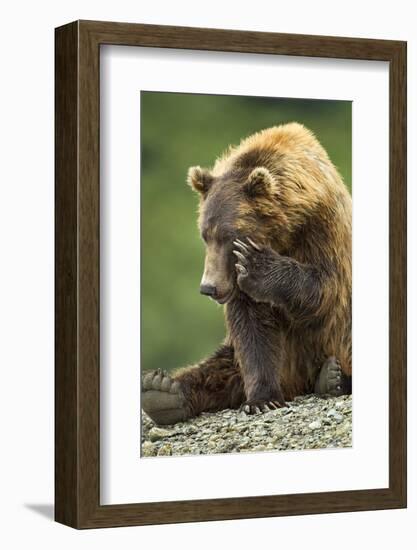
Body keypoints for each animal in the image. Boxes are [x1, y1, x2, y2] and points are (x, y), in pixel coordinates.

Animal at [141, 124, 350, 426]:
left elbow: (325, 287)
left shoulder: (323, 230)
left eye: (230, 236)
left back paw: (333, 378)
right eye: (205, 235)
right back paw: (162, 391)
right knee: (222, 365)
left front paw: (257, 263)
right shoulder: (236, 286)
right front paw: (262, 399)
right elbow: (252, 329)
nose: (209, 287)